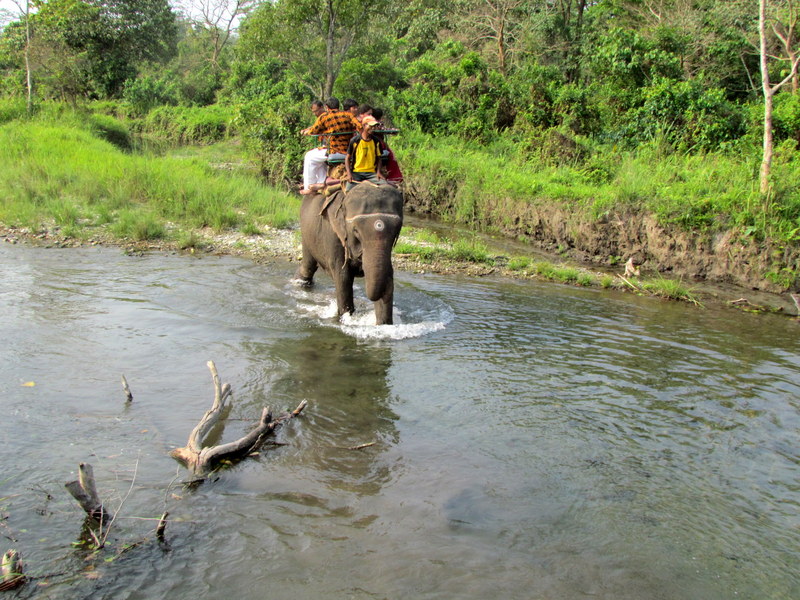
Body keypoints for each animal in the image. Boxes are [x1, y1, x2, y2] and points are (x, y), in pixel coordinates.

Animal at [294, 183, 404, 325]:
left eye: (397, 229)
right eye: (356, 230)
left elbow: (388, 275)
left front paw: (384, 325)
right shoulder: (333, 235)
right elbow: (343, 277)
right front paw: (345, 318)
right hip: (306, 232)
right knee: (308, 266)